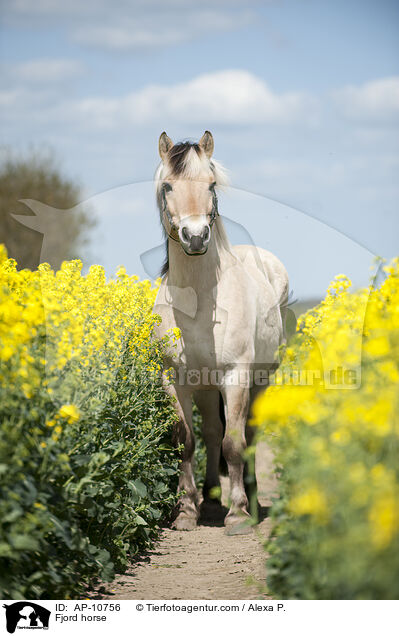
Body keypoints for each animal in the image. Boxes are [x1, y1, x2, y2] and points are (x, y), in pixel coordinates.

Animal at [155, 132, 290, 536]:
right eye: (168, 186)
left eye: (211, 185)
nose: (196, 237)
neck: (200, 300)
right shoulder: (176, 380)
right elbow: (186, 441)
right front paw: (186, 512)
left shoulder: (236, 376)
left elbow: (235, 442)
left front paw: (239, 515)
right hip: (204, 387)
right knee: (213, 432)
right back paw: (212, 498)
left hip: (259, 381)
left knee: (248, 435)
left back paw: (248, 497)